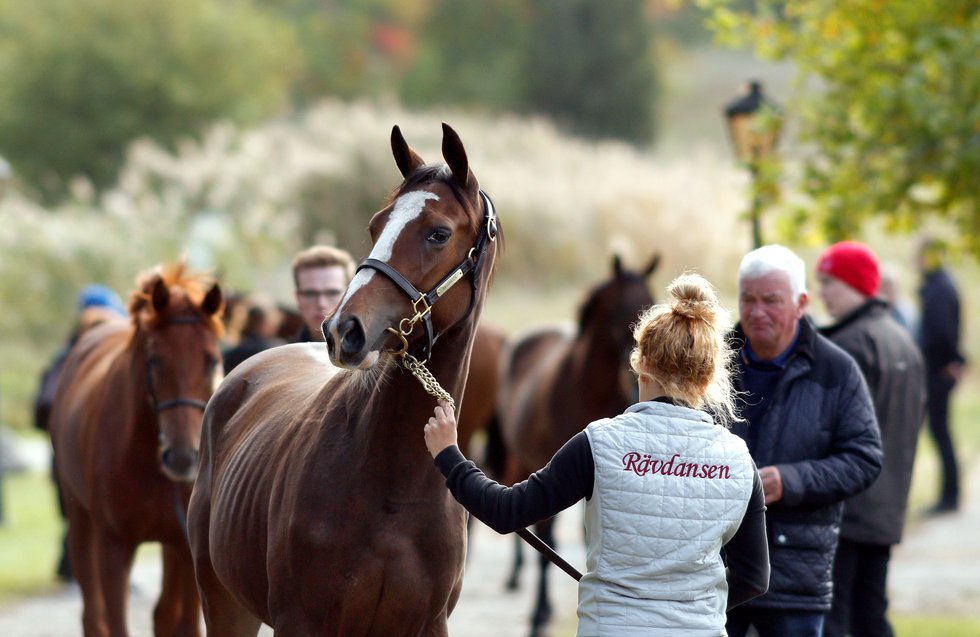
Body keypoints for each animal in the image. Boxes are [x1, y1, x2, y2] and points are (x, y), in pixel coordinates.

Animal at [48, 262, 223, 636]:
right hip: (81, 523)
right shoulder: (114, 546)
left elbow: (180, 621)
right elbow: (115, 621)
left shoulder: (184, 547)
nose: (183, 457)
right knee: (92, 614)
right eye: (154, 359)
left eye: (212, 359)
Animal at [188, 121, 502, 632]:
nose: (343, 329)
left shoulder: (428, 625)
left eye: (438, 233)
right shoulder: (299, 621)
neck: (393, 484)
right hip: (223, 601)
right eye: (376, 225)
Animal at [498, 253, 660, 636]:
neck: (585, 393)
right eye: (620, 314)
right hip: (521, 460)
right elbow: (548, 542)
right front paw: (538, 616)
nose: (635, 383)